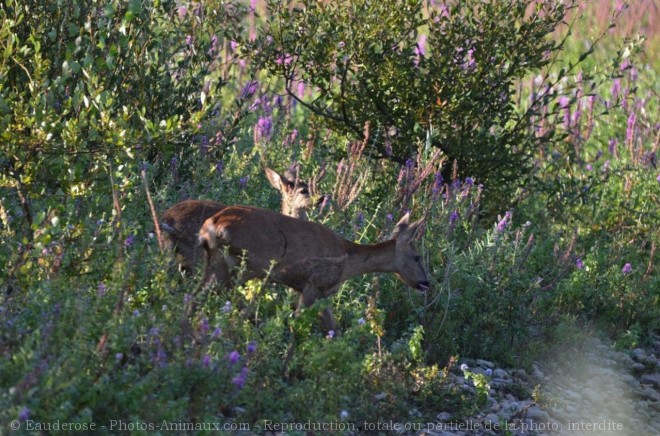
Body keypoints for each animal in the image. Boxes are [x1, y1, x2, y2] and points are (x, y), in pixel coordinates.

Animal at [199, 206, 430, 332]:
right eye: (417, 257)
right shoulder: (313, 284)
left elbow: (333, 329)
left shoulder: (320, 293)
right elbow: (298, 325)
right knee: (233, 299)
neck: (348, 261)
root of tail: (212, 225)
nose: (426, 283)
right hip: (248, 263)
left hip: (217, 262)